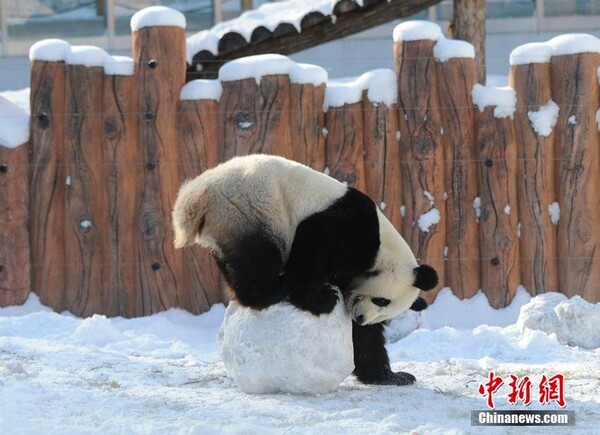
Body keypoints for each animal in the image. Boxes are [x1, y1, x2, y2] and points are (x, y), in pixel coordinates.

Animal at [171, 155, 438, 386]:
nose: (360, 318)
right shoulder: (351, 229)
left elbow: (364, 339)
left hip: (229, 224)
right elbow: (313, 248)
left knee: (236, 263)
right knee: (258, 258)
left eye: (385, 311)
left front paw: (392, 376)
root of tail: (196, 196)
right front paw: (319, 300)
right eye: (382, 300)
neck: (385, 252)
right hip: (249, 209)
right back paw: (271, 293)